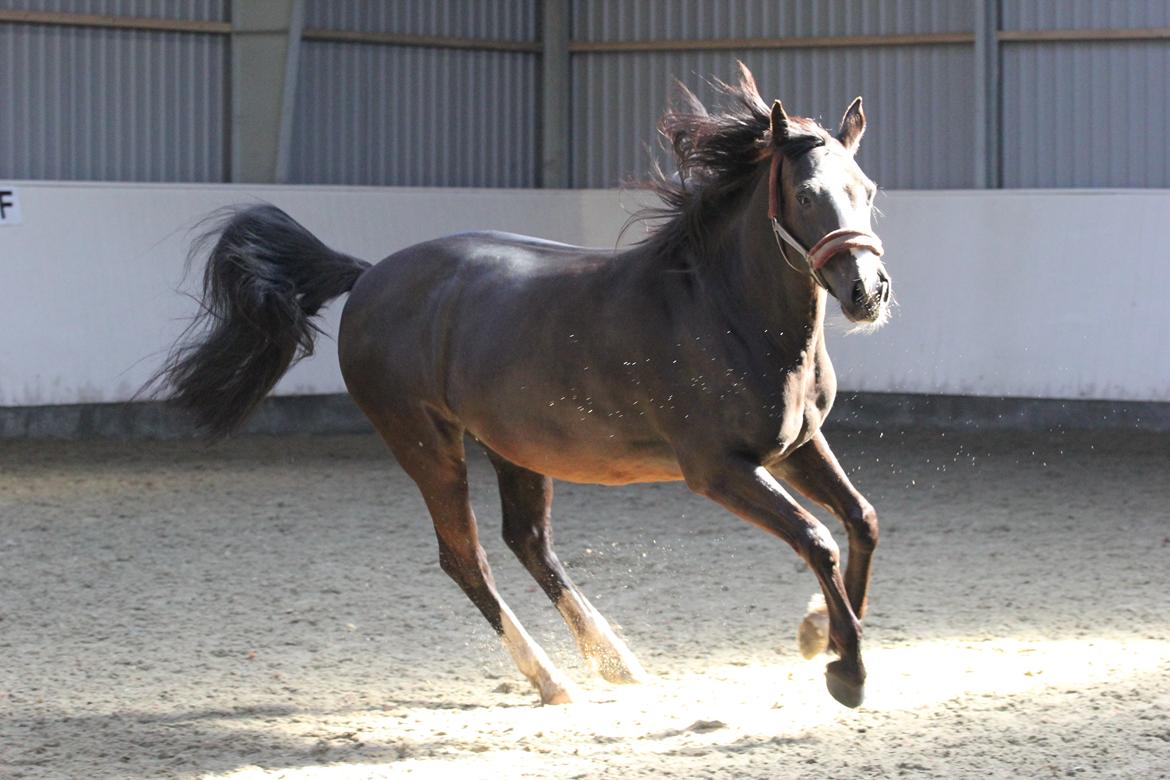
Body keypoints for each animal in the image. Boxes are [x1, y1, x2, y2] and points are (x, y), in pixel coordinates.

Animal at [160, 67, 889, 711]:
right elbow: (818, 539)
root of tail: (368, 277)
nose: (868, 292)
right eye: (805, 196)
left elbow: (861, 520)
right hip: (425, 445)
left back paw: (616, 663)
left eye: (868, 187)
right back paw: (554, 680)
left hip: (514, 447)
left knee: (528, 543)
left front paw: (821, 635)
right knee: (467, 558)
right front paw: (844, 670)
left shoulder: (795, 447)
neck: (726, 309)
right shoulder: (719, 468)